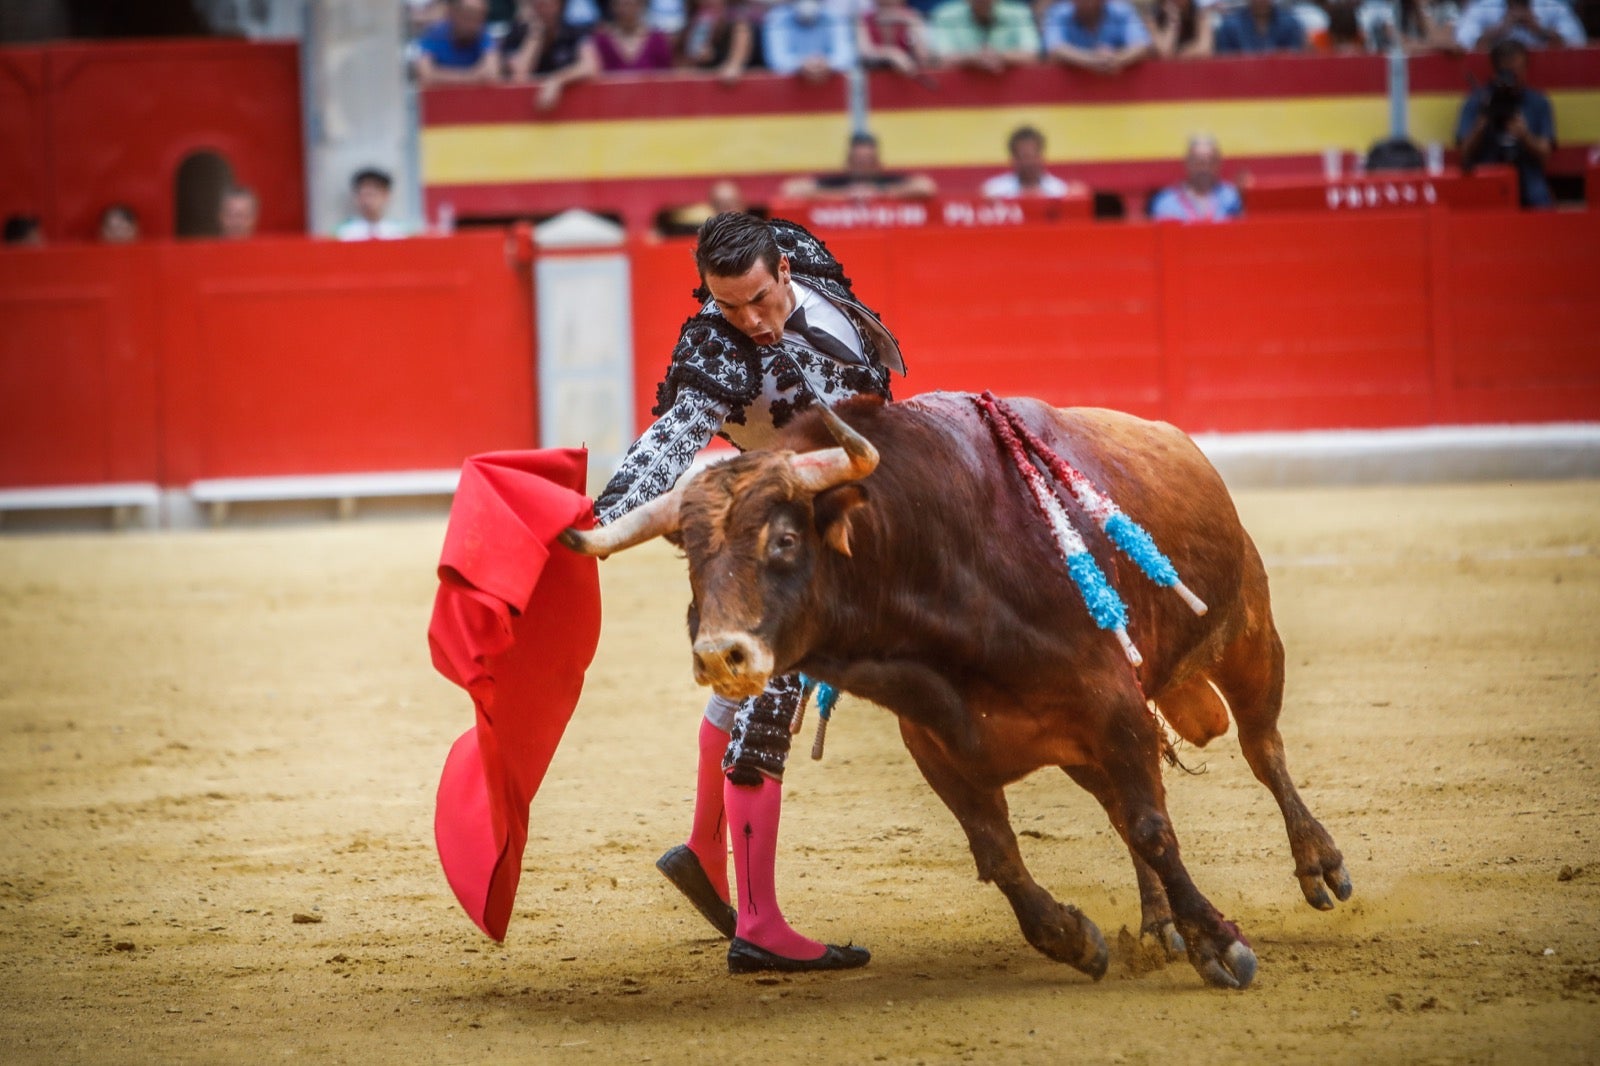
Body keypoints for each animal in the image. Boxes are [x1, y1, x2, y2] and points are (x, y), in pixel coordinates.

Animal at [563, 392, 1350, 985]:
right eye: (692, 556)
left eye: (784, 540)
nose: (720, 654)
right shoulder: (941, 744)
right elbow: (1000, 852)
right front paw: (1075, 938)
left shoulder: (1116, 708)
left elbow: (1155, 827)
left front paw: (1222, 944)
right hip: (1087, 746)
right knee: (1124, 808)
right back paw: (1159, 926)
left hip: (1248, 633)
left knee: (1263, 749)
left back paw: (1319, 866)